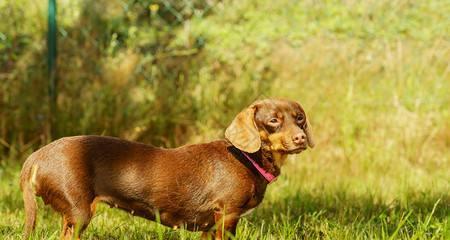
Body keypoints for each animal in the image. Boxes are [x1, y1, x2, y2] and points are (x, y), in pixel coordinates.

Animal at [20, 98, 312, 239]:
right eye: (273, 120)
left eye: (300, 118)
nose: (301, 138)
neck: (246, 157)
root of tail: (37, 156)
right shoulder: (227, 216)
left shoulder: (209, 227)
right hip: (79, 212)